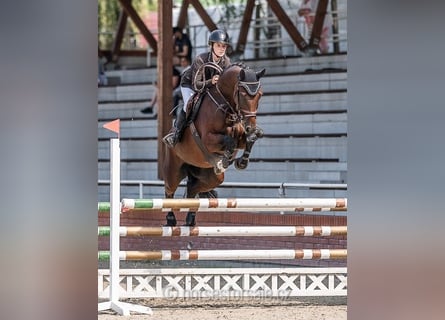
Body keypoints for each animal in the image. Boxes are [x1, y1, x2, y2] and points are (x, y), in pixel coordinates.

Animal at [163, 62, 266, 226]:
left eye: (260, 95)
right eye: (243, 95)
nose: (250, 126)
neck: (225, 106)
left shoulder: (241, 139)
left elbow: (250, 139)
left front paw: (240, 162)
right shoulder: (208, 139)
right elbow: (229, 141)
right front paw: (224, 160)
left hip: (211, 177)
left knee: (192, 188)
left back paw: (190, 219)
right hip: (174, 169)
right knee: (169, 191)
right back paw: (171, 219)